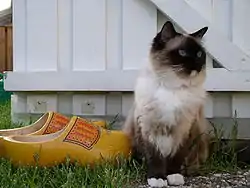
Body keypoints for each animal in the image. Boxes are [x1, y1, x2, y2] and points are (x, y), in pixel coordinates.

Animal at [122, 21, 209, 187]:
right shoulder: (149, 128)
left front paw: (174, 176)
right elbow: (155, 157)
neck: (173, 88)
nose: (197, 66)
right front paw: (157, 178)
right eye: (182, 52)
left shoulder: (183, 129)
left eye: (199, 54)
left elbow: (176, 157)